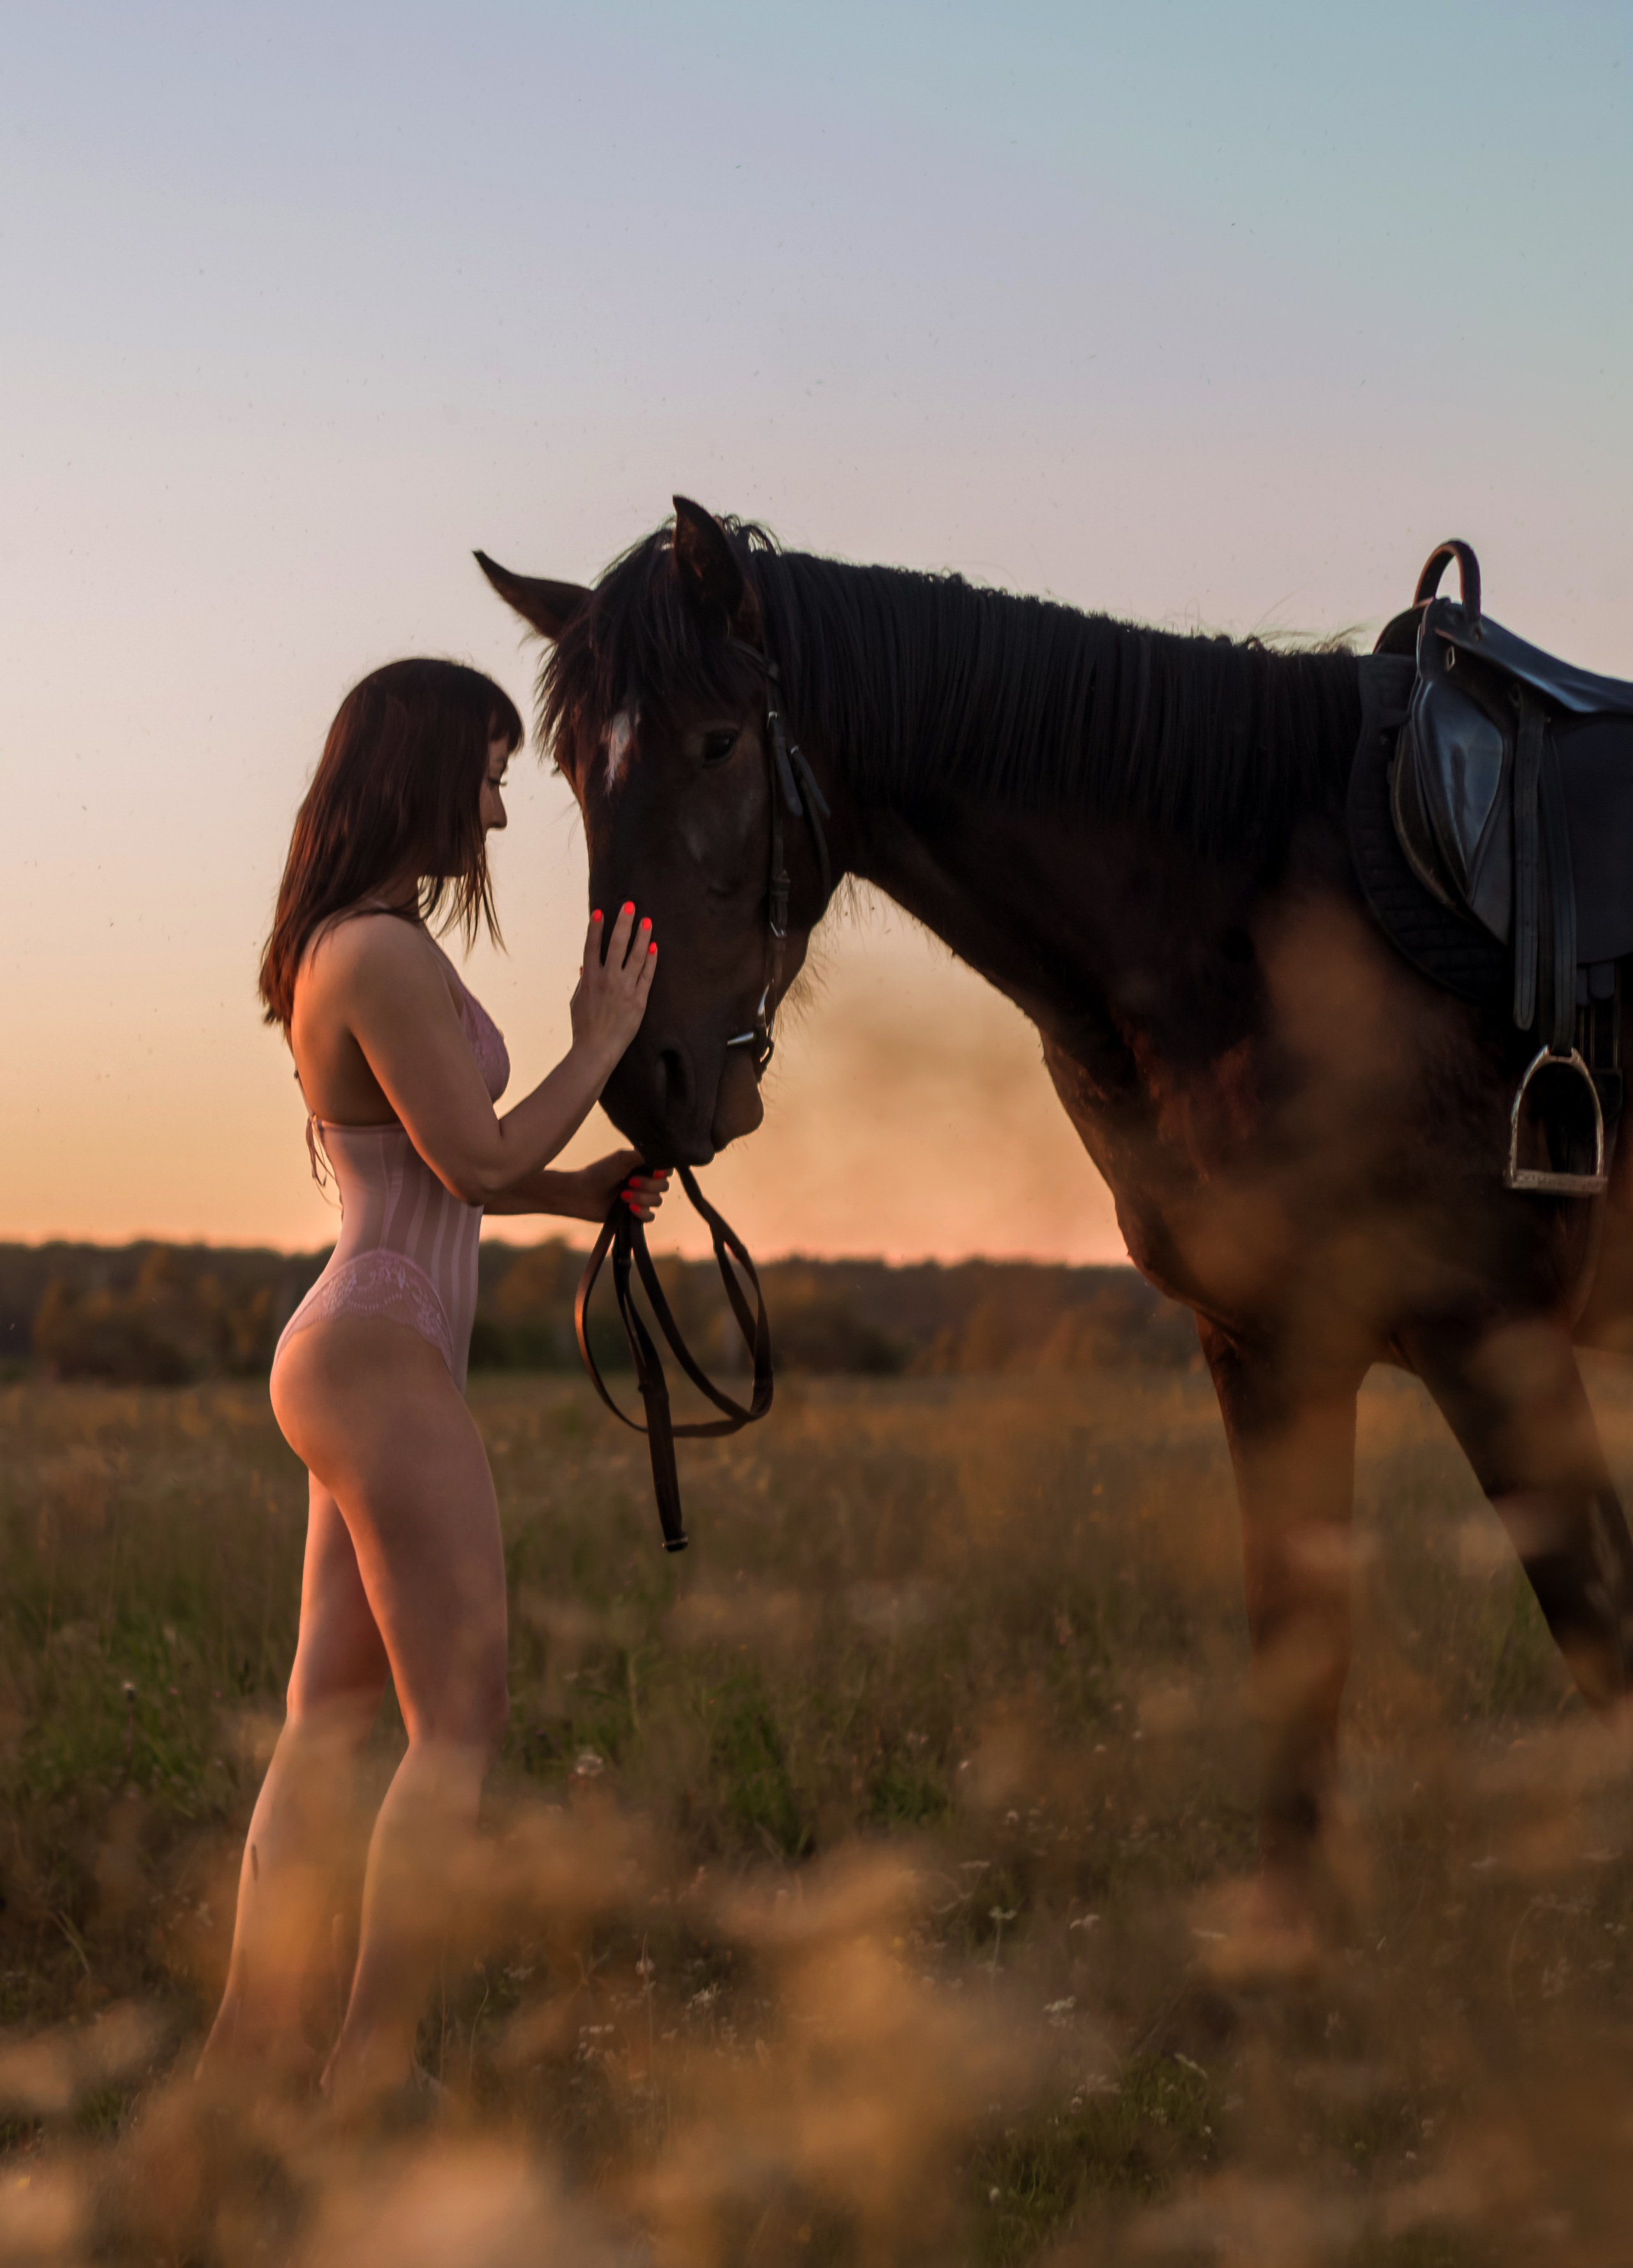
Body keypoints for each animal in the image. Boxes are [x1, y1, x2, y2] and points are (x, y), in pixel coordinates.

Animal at [478, 498, 1633, 1905]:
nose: (647, 1077)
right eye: (572, 770)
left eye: (714, 742)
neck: (1265, 912)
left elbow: (1597, 1639)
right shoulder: (1270, 1349)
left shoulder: (1492, 1334)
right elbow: (1296, 1656)